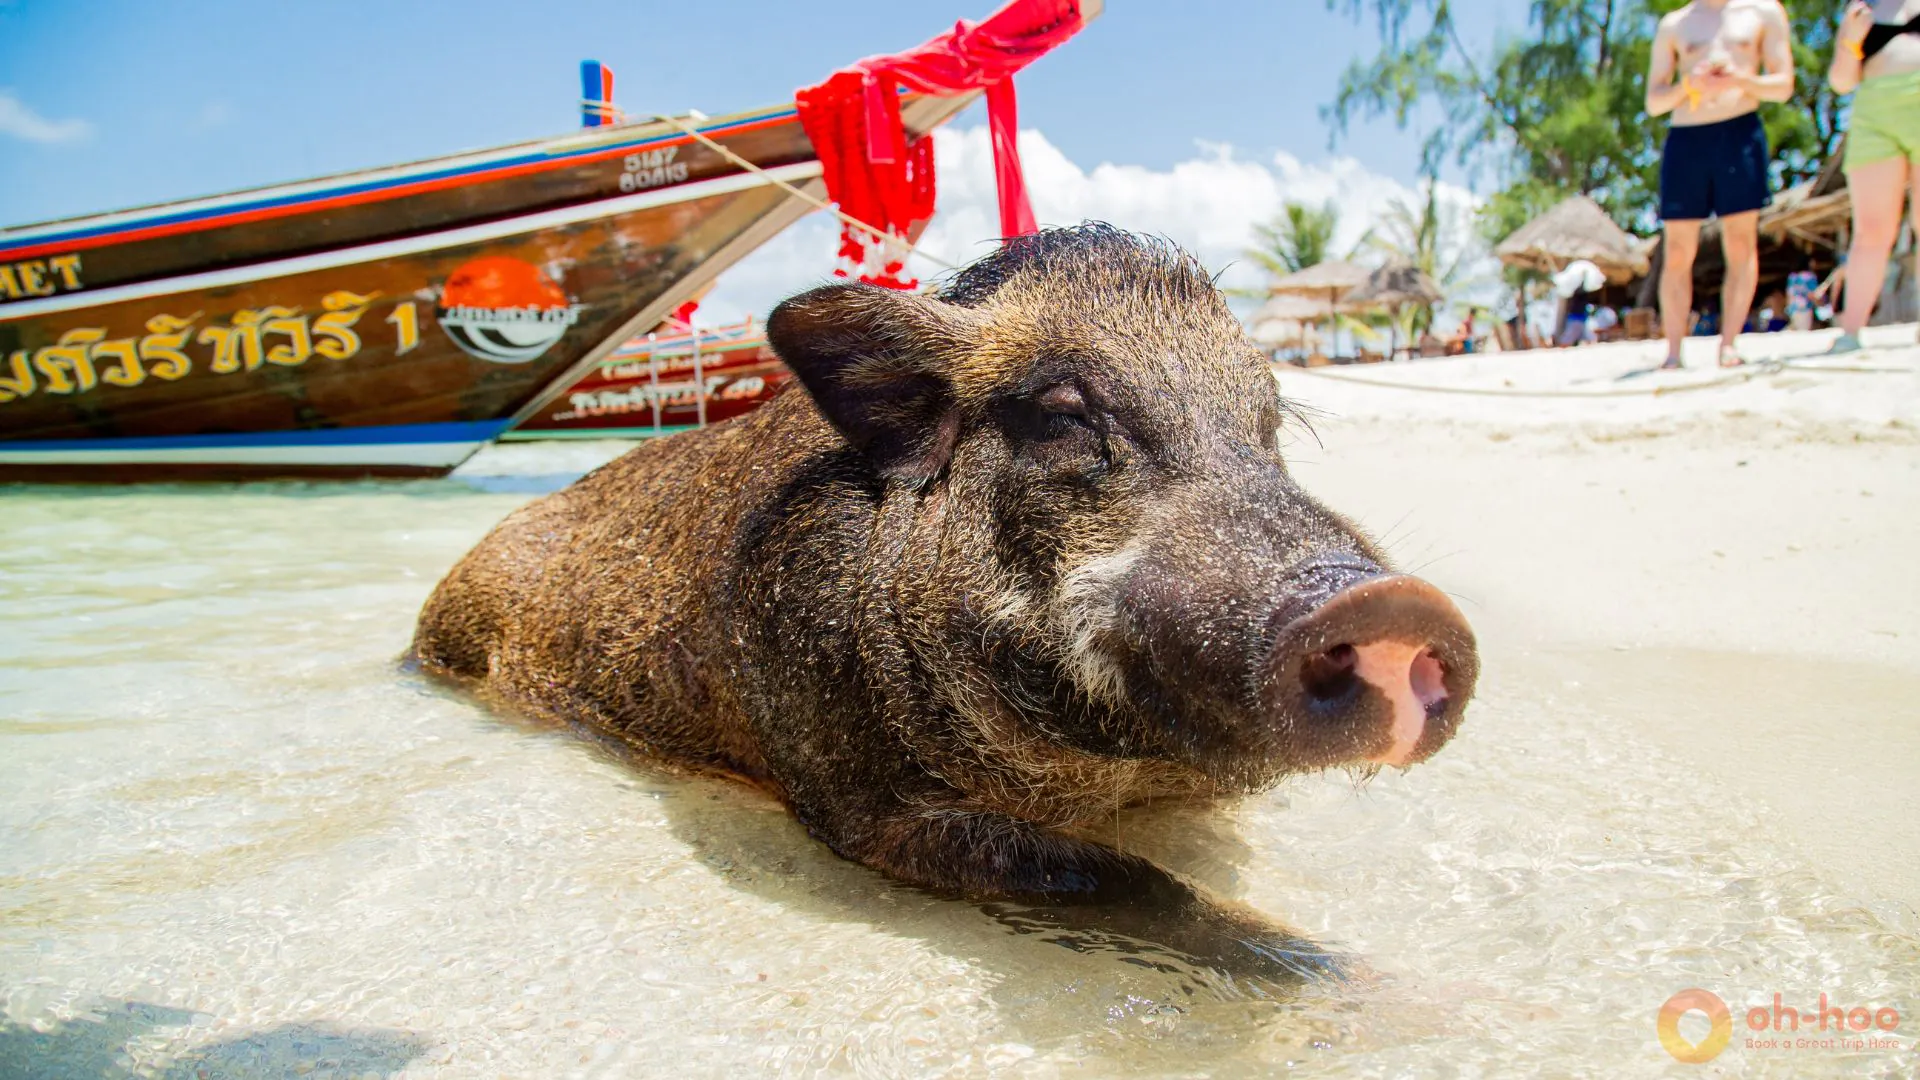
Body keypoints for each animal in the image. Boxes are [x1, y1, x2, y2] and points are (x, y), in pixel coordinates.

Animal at [412, 224, 1477, 978]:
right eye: (1062, 408)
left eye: (1267, 422)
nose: (1391, 603)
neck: (1107, 780)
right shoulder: (857, 806)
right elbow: (1120, 879)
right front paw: (1341, 976)